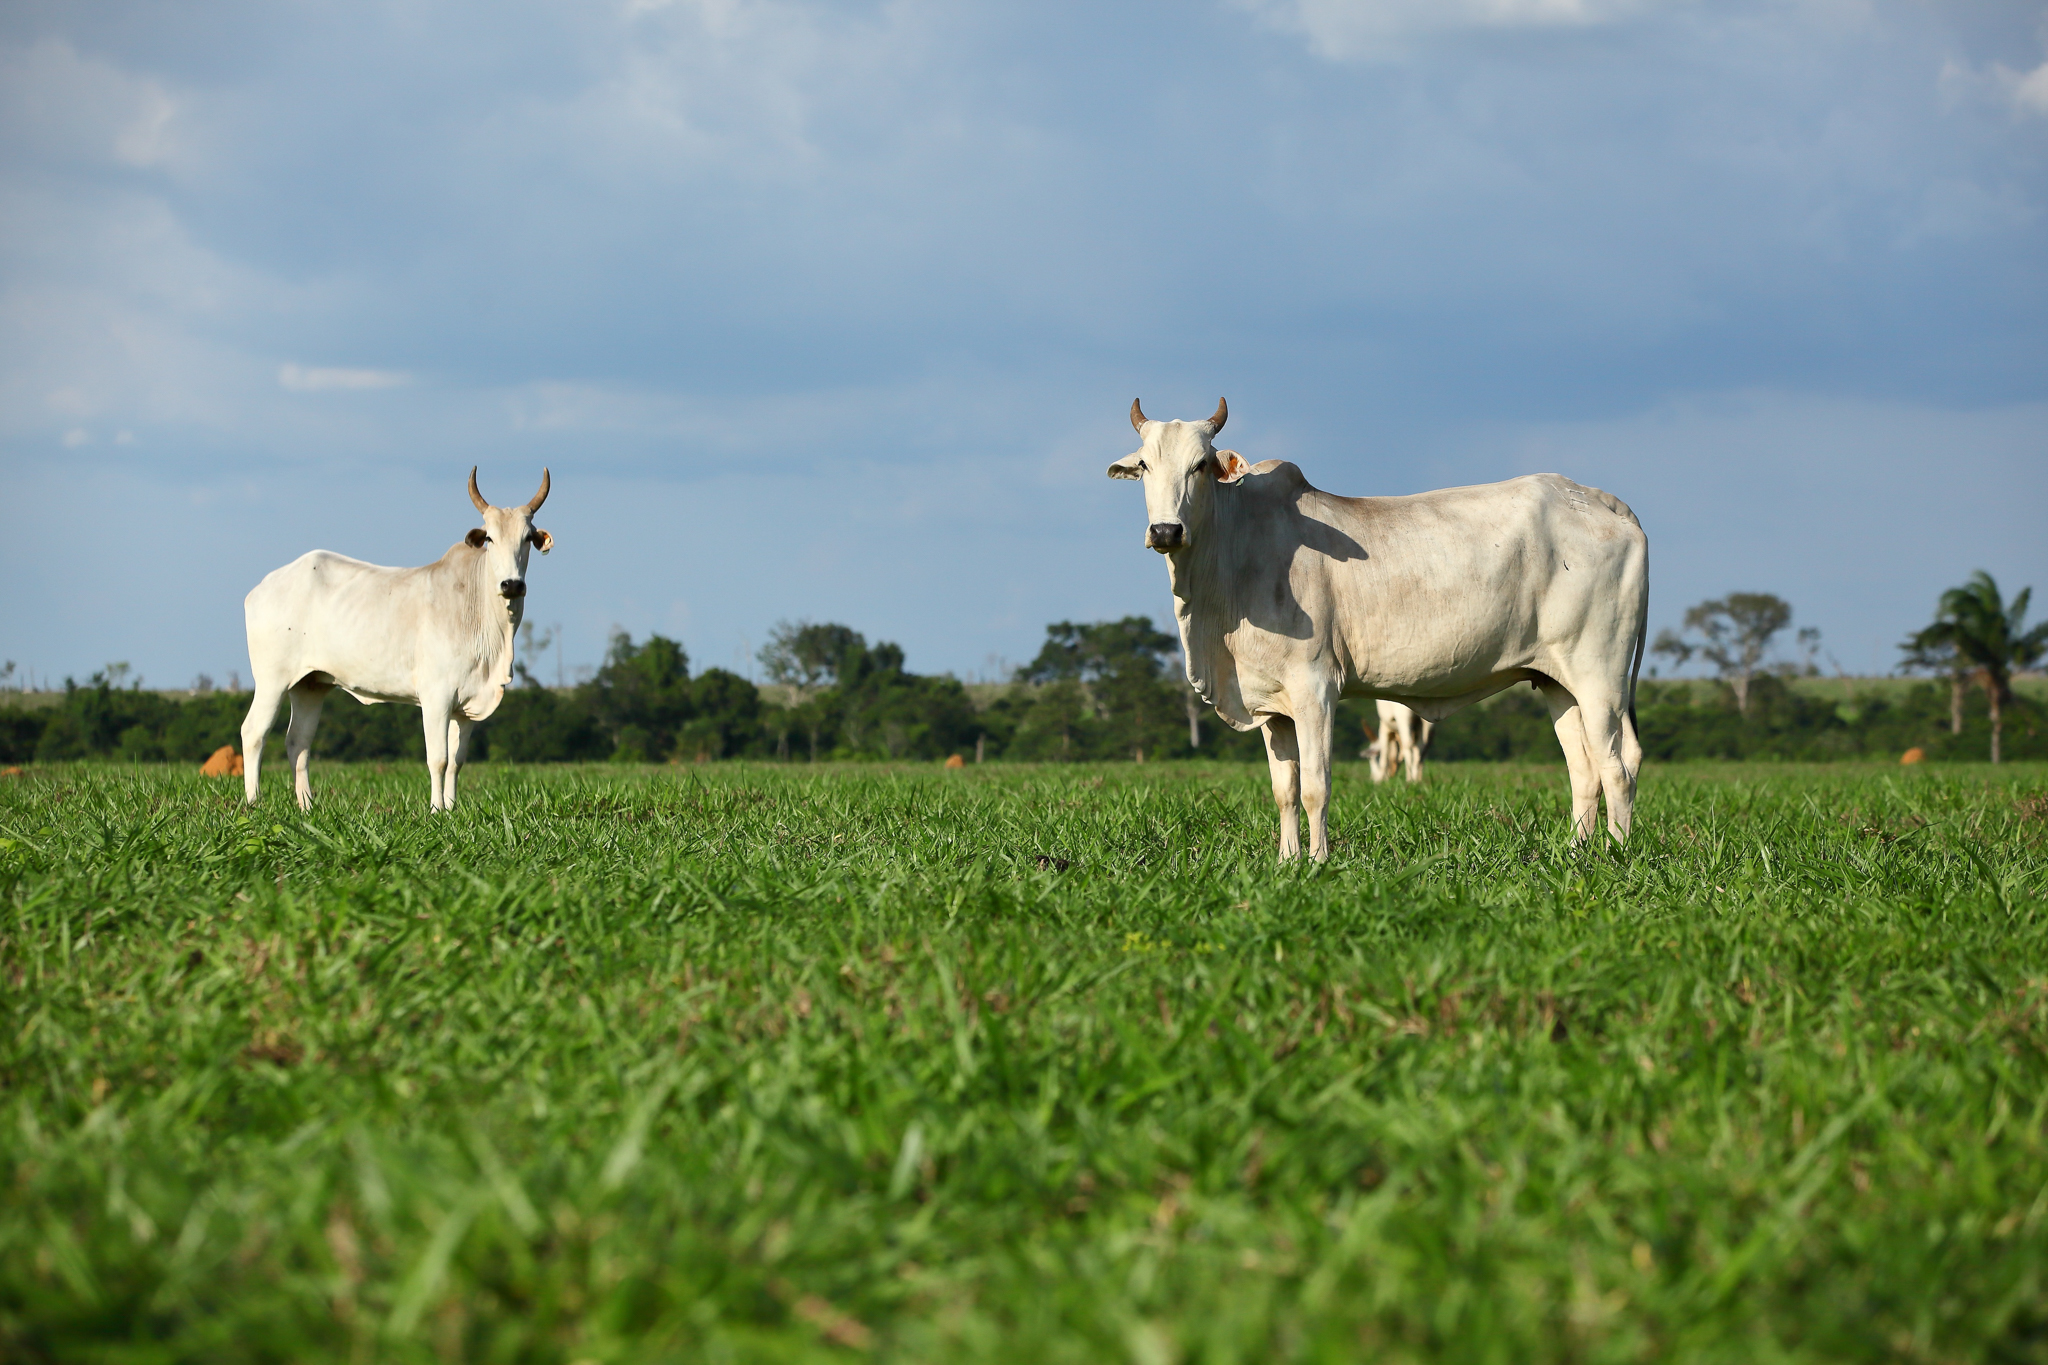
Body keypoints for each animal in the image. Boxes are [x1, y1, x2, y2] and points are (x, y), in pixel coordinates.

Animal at [239, 469, 553, 811]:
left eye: (527, 538)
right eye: (490, 538)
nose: (512, 585)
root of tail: (262, 587)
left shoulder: (467, 706)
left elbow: (457, 762)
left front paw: (452, 809)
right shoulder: (436, 697)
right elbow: (438, 759)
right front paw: (436, 810)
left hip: (310, 685)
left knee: (298, 743)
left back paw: (307, 805)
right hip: (272, 680)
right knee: (254, 732)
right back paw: (254, 803)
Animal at [1109, 399, 1647, 859]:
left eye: (1201, 465)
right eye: (1145, 466)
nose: (1166, 531)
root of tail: (1602, 500)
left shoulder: (1315, 688)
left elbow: (1315, 787)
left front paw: (1317, 862)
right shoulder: (1271, 706)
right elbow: (1284, 791)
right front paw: (1286, 861)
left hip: (1600, 677)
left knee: (1618, 767)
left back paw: (1615, 856)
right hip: (1557, 682)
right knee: (1585, 771)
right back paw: (1576, 853)